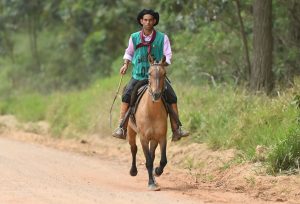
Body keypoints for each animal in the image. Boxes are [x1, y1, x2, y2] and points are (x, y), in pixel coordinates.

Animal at [126, 54, 169, 191]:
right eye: (149, 73)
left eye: (164, 73)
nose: (156, 94)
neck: (151, 112)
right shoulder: (143, 138)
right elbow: (148, 161)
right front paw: (151, 183)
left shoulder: (161, 137)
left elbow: (162, 160)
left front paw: (157, 172)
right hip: (130, 131)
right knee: (133, 148)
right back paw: (133, 171)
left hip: (153, 139)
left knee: (152, 154)